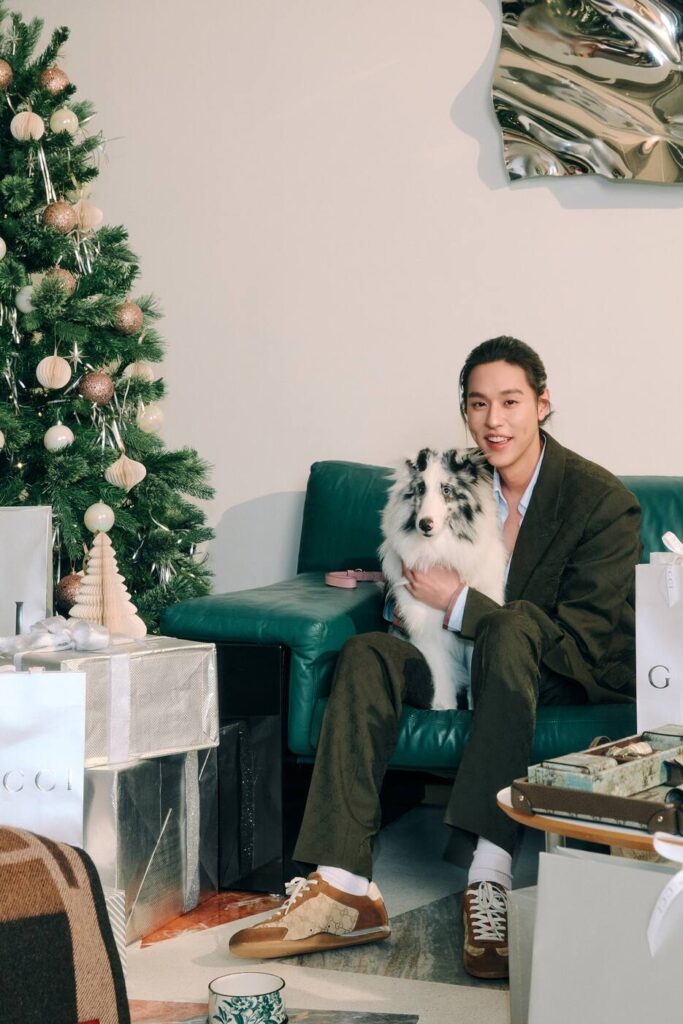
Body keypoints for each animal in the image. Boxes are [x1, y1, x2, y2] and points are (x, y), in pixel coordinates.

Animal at [379, 447, 507, 711]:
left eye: (446, 490)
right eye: (420, 489)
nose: (424, 524)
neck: (440, 550)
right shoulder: (427, 631)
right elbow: (443, 687)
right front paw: (444, 710)